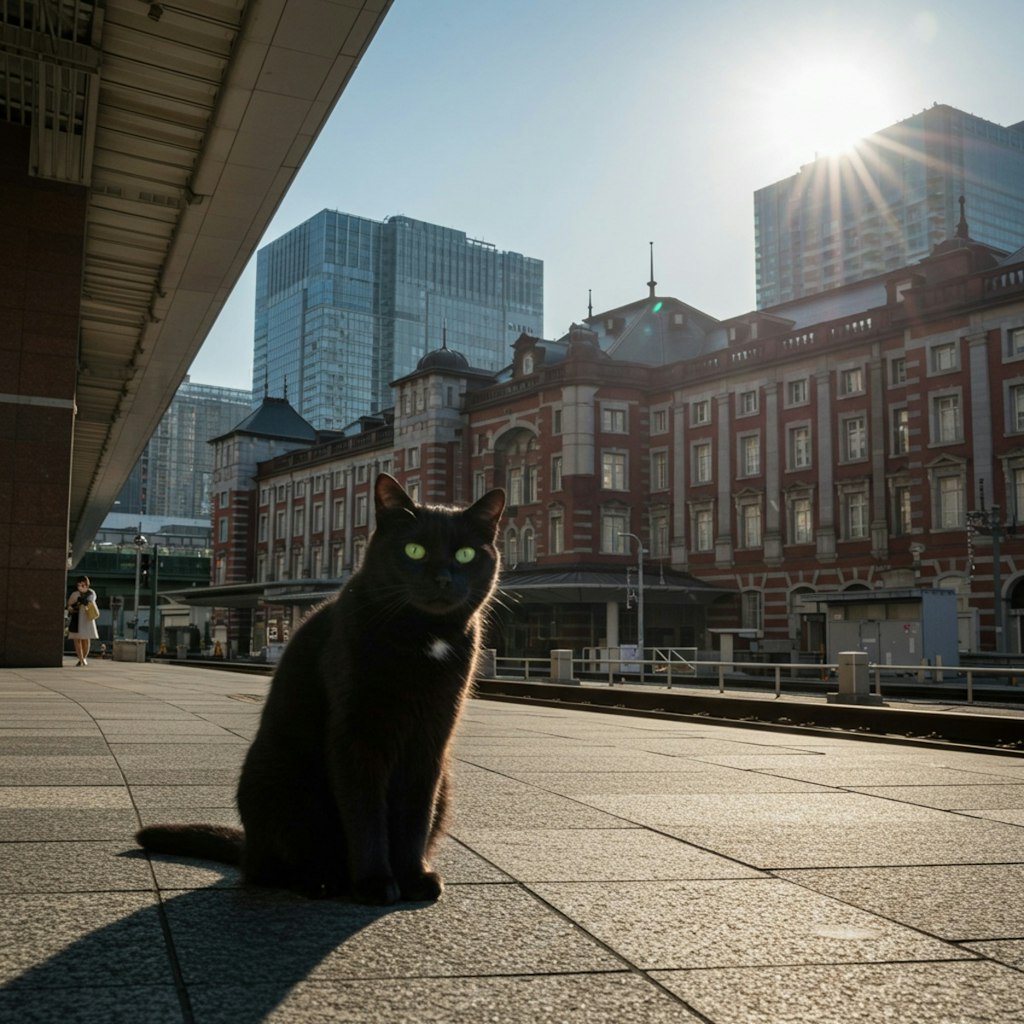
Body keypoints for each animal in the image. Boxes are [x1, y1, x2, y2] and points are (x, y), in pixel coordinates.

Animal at [136, 473, 503, 905]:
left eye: (465, 555)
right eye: (414, 550)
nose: (443, 578)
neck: (425, 636)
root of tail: (248, 849)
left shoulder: (432, 737)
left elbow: (415, 814)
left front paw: (414, 877)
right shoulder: (356, 734)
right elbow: (365, 814)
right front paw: (375, 883)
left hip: (444, 780)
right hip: (278, 774)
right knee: (274, 867)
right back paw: (323, 879)